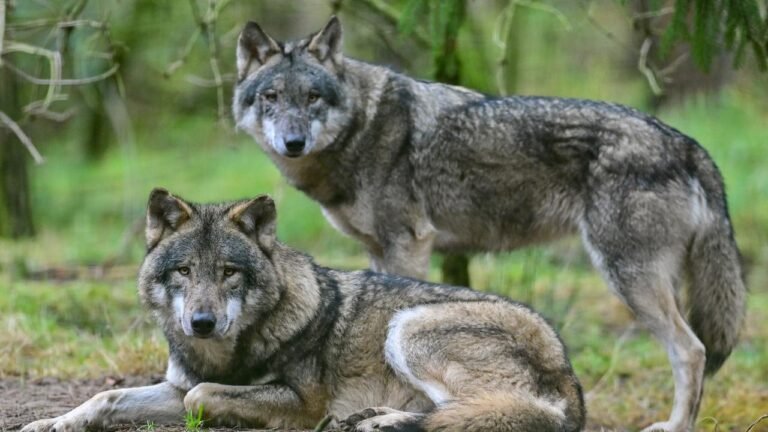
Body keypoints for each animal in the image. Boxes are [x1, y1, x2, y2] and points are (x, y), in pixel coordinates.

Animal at [21, 188, 585, 432]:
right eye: (183, 271)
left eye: (229, 271)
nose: (201, 323)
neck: (230, 352)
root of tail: (569, 373)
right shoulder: (176, 385)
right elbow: (106, 398)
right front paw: (50, 423)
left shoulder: (301, 403)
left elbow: (202, 398)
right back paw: (378, 420)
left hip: (409, 327)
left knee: (499, 414)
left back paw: (384, 424)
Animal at [231, 16, 747, 432]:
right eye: (271, 97)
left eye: (312, 97)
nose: (293, 142)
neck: (363, 126)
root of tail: (686, 143)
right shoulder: (379, 251)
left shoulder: (407, 245)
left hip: (627, 278)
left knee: (692, 351)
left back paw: (675, 425)